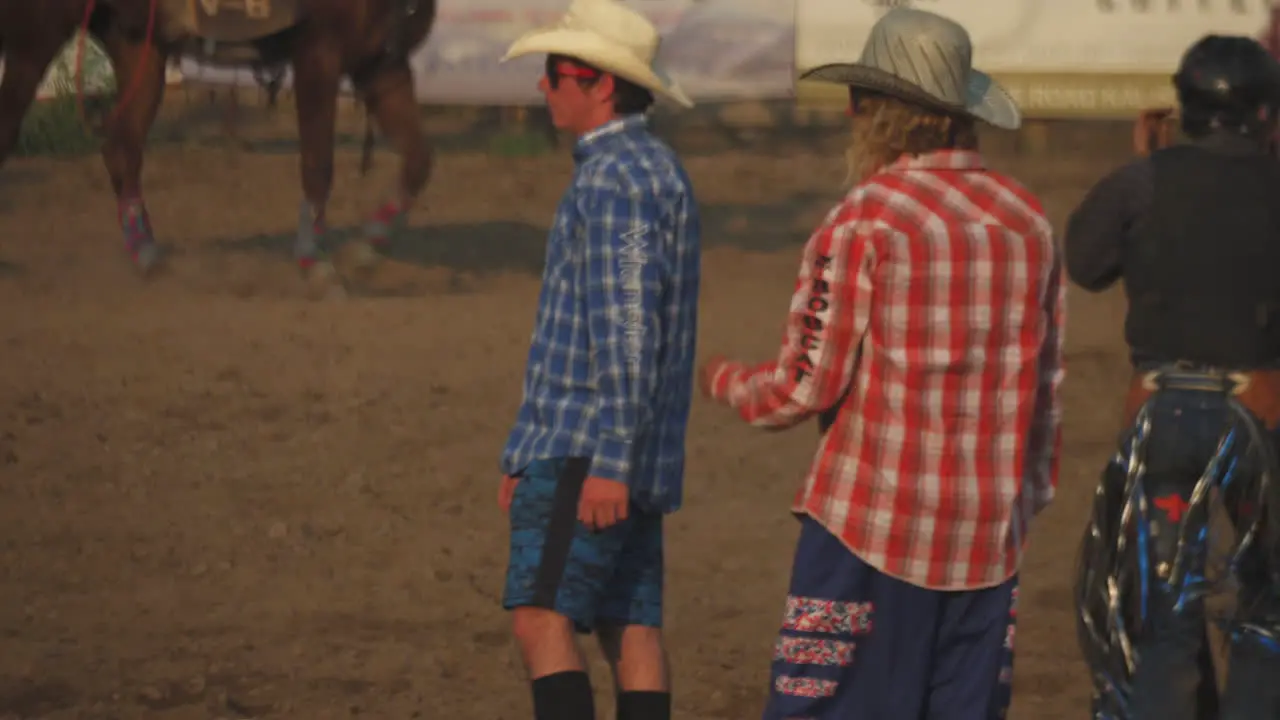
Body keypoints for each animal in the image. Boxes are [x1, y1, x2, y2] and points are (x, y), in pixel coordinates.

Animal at [0, 0, 437, 278]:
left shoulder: (379, 61)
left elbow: (419, 158)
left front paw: (370, 246)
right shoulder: (318, 53)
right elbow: (318, 163)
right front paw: (314, 261)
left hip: (139, 44)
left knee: (121, 147)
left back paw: (146, 253)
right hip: (36, 33)